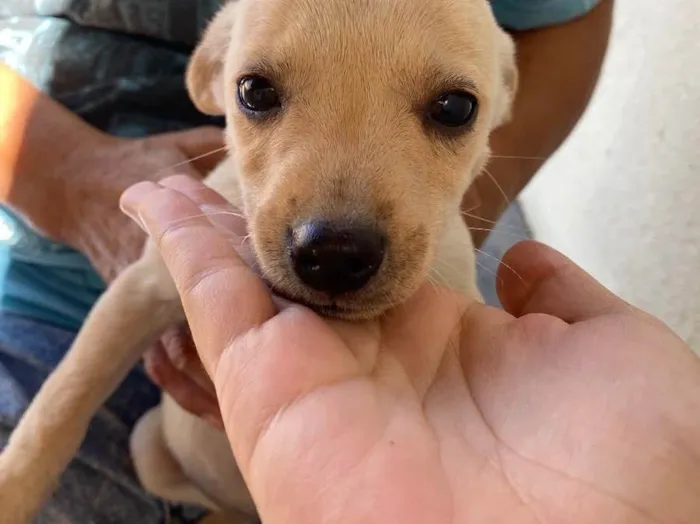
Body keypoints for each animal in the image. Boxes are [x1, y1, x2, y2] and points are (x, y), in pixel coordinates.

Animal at [0, 0, 516, 520]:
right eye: (254, 91)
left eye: (455, 108)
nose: (334, 254)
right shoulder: (139, 290)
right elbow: (61, 401)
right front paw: (13, 489)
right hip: (147, 445)